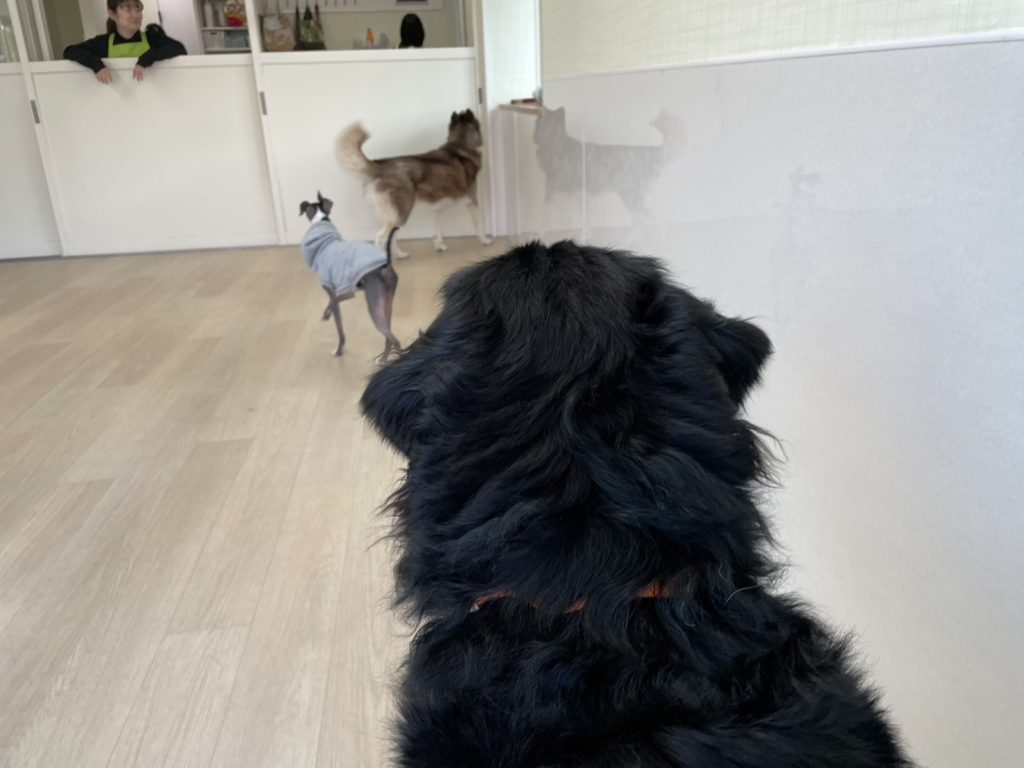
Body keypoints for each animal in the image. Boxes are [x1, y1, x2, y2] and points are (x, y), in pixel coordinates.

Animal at [299, 192, 400, 361]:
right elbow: (336, 300)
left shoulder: (333, 288)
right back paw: (383, 357)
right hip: (386, 304)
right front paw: (326, 313)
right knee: (389, 336)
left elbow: (340, 329)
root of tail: (385, 264)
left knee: (395, 341)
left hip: (375, 307)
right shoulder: (346, 290)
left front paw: (339, 350)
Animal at [337, 109, 492, 258]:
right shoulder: (472, 201)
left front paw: (439, 246)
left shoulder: (438, 209)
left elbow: (438, 231)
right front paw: (485, 241)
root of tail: (379, 165)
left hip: (398, 217)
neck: (461, 145)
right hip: (400, 215)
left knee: (392, 238)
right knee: (380, 237)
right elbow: (479, 225)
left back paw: (400, 255)